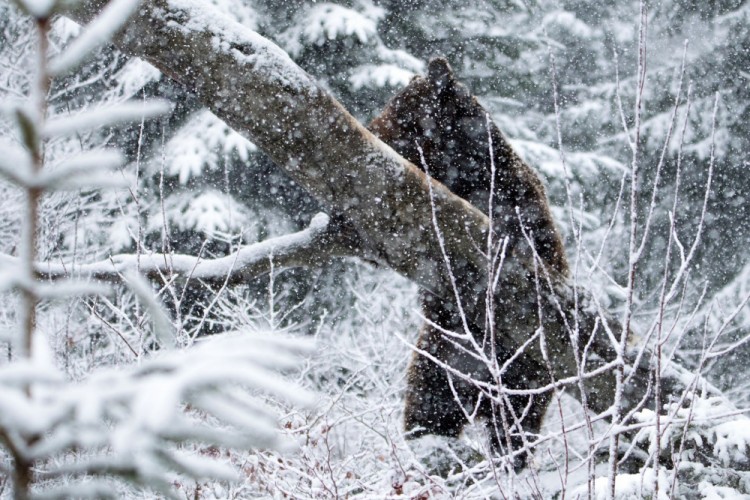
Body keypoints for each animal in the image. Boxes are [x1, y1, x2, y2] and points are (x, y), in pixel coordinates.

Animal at [370, 56, 568, 466]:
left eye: (398, 111)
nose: (372, 129)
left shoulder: (515, 209)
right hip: (438, 360)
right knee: (428, 407)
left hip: (524, 376)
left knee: (515, 426)